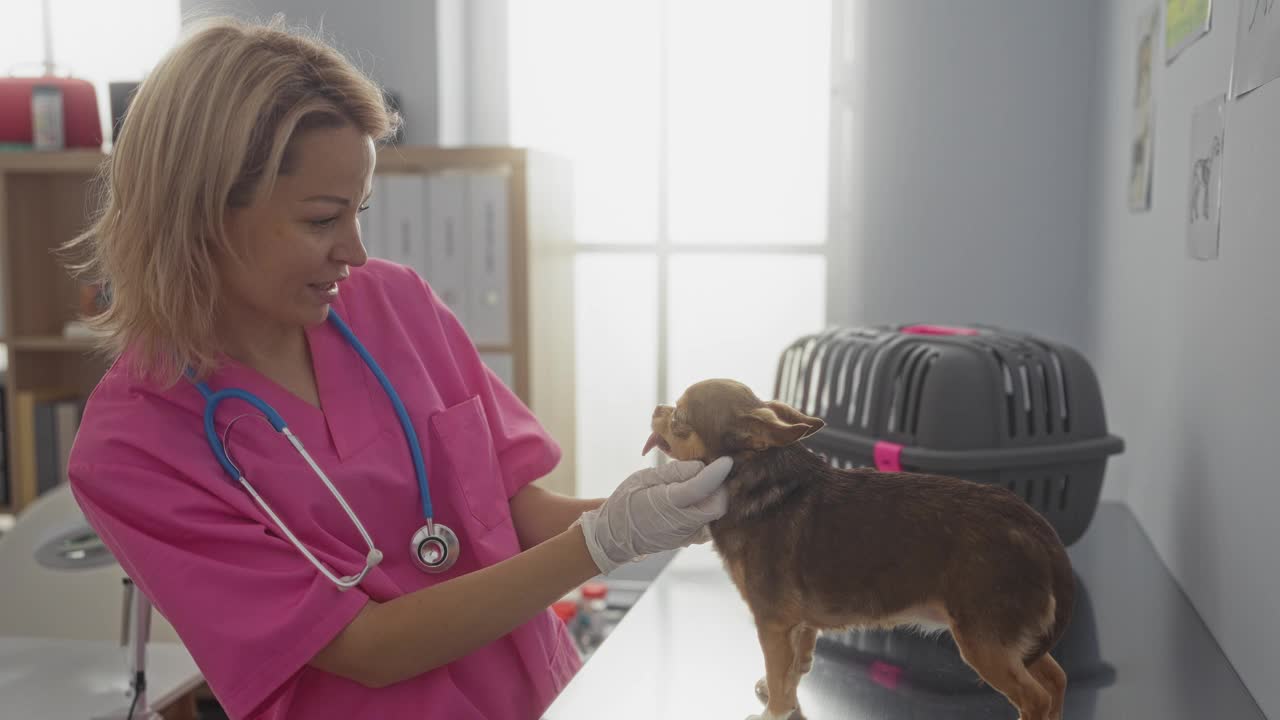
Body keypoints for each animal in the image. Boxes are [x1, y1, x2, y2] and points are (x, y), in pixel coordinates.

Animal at [645, 379, 1075, 712]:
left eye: (679, 418)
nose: (657, 407)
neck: (758, 481)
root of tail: (1037, 529)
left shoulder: (773, 624)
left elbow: (781, 675)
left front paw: (774, 710)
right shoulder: (799, 625)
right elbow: (795, 671)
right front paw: (783, 694)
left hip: (984, 641)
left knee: (1036, 698)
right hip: (1014, 641)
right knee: (1057, 680)